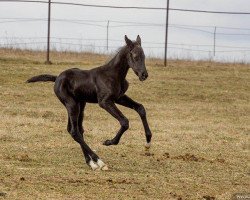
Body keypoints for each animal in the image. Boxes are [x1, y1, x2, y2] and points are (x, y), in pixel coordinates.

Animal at [27, 35, 152, 170]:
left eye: (144, 56)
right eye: (135, 56)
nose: (144, 75)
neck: (113, 75)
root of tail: (57, 78)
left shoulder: (119, 98)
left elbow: (140, 108)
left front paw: (148, 142)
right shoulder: (105, 102)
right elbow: (124, 122)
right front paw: (109, 142)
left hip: (80, 104)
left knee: (77, 129)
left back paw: (91, 162)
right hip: (71, 104)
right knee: (74, 131)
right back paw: (99, 162)